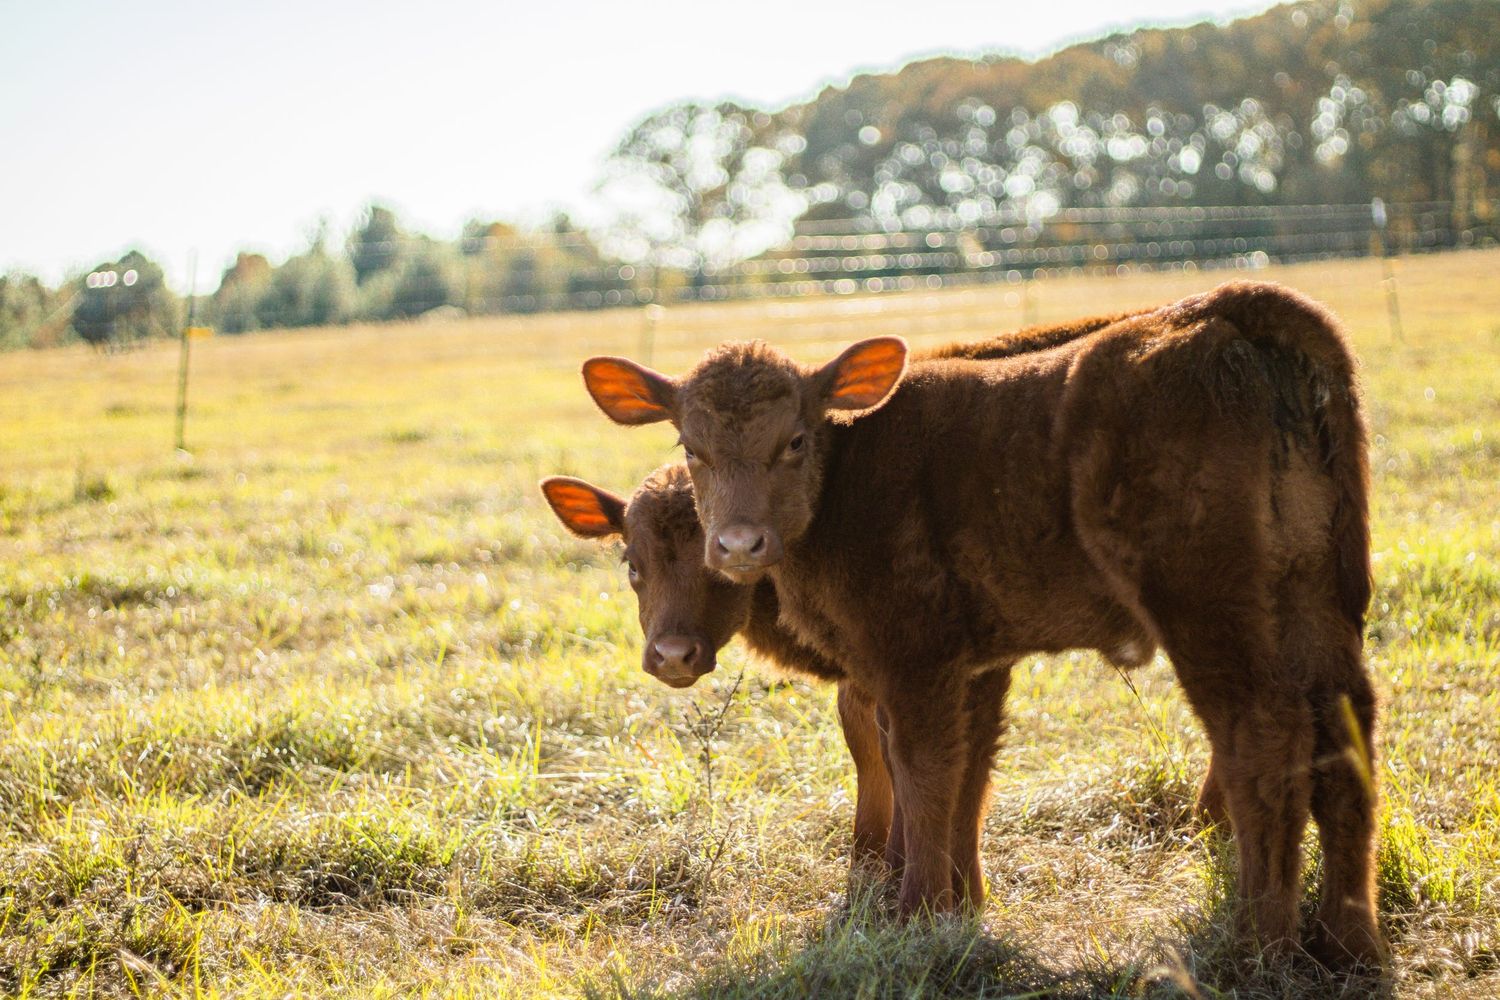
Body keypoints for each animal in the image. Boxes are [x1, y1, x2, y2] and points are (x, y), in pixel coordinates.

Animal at [578, 281, 1383, 968]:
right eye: (692, 446)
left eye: (796, 440)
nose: (739, 545)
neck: (850, 467)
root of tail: (1222, 312)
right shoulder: (976, 662)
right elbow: (970, 769)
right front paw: (957, 904)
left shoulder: (908, 658)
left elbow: (918, 766)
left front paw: (909, 910)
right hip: (1314, 597)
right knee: (1344, 730)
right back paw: (1348, 941)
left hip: (1208, 607)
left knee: (1262, 735)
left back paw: (1257, 943)